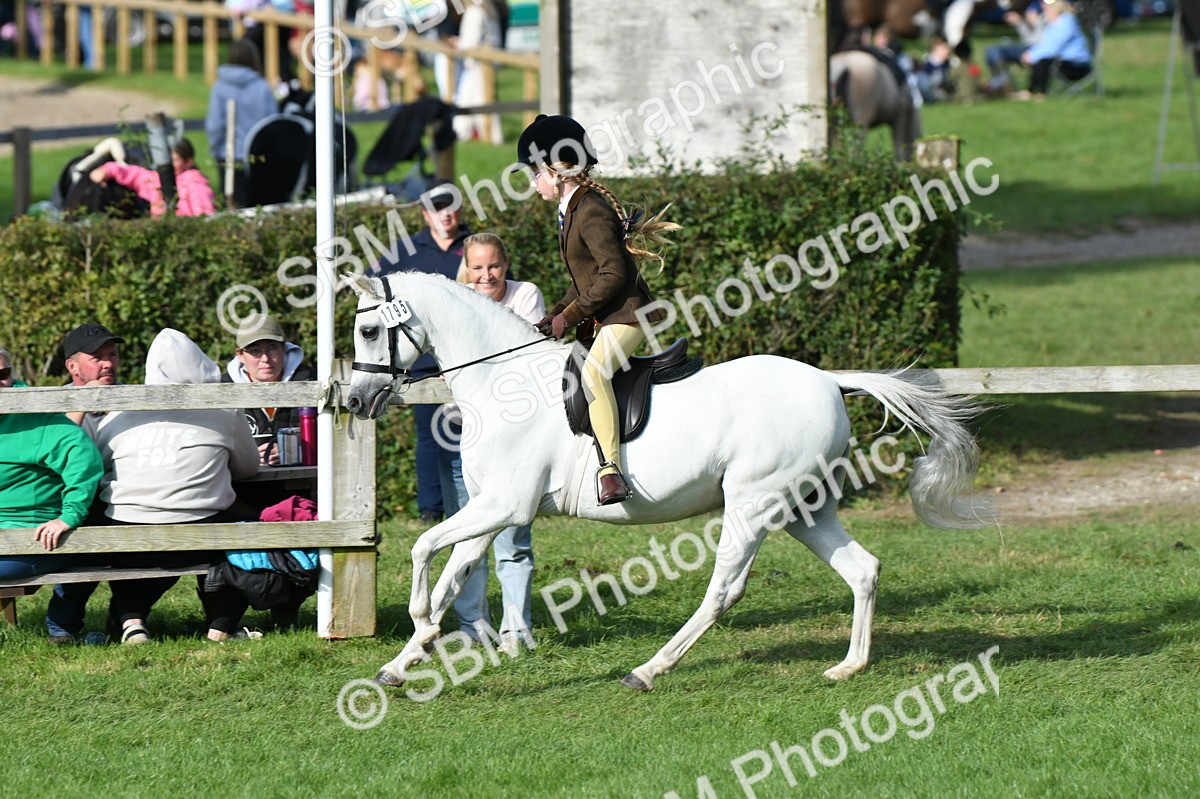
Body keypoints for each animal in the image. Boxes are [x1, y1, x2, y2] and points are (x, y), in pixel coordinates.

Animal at [344, 272, 994, 691]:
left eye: (371, 332)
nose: (355, 401)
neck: (503, 382)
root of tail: (830, 381)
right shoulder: (488, 508)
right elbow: (452, 574)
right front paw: (403, 661)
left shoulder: (508, 505)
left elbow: (423, 548)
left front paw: (421, 626)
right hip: (803, 507)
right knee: (862, 569)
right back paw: (848, 667)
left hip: (753, 504)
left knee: (724, 590)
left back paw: (649, 669)